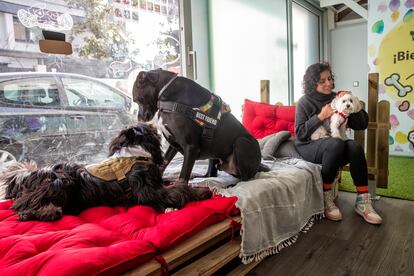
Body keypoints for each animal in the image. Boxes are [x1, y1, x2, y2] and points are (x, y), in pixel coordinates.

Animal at [0, 123, 212, 222]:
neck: (135, 153)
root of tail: (30, 176)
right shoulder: (148, 191)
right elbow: (178, 189)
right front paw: (202, 192)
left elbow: (173, 182)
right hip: (61, 182)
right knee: (23, 206)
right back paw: (49, 212)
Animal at [133, 68, 268, 184]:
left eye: (136, 100)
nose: (139, 119)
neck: (168, 97)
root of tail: (258, 166)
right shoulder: (173, 144)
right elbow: (163, 163)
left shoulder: (191, 147)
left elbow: (183, 176)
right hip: (214, 152)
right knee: (211, 174)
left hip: (241, 142)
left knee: (245, 179)